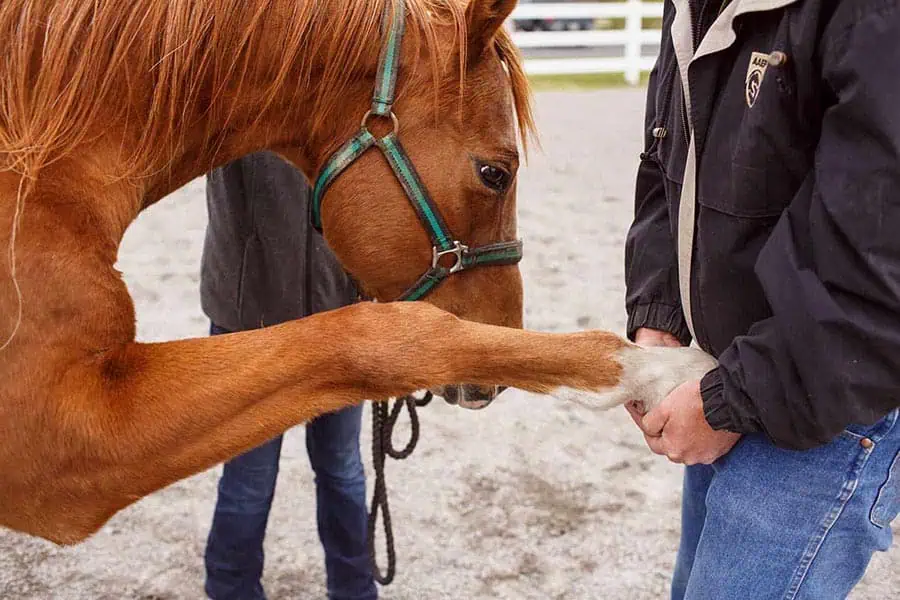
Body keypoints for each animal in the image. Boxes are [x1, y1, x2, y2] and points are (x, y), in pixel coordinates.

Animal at [0, 0, 716, 546]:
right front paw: (664, 369)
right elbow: (379, 337)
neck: (41, 172)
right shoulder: (66, 439)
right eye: (496, 172)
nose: (504, 332)